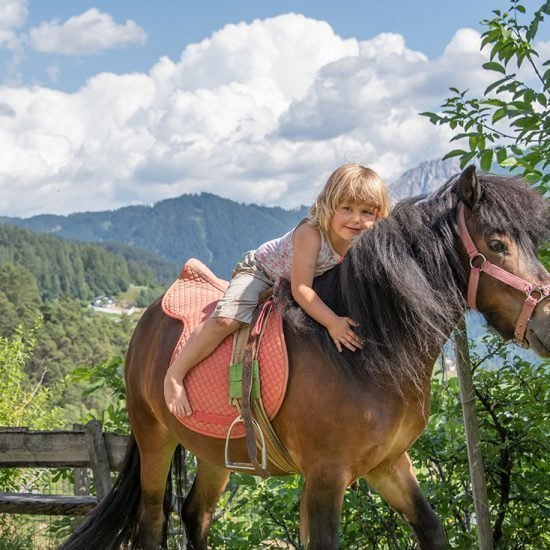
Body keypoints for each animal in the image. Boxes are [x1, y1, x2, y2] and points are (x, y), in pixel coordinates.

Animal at [62, 166, 548, 548]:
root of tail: (148, 319)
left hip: (214, 452)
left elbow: (431, 528)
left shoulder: (389, 464)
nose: (547, 320)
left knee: (195, 513)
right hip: (154, 438)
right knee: (152, 520)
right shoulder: (325, 477)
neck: (365, 358)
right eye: (498, 244)